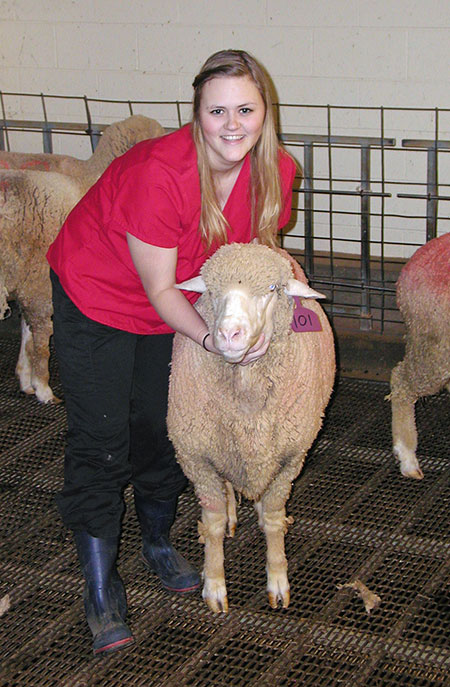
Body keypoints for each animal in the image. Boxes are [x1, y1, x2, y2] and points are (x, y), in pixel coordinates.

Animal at [167, 242, 336, 612]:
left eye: (271, 289)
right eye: (211, 290)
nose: (230, 334)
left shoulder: (290, 460)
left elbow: (273, 520)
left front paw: (278, 581)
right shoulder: (197, 459)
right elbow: (213, 524)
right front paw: (214, 585)